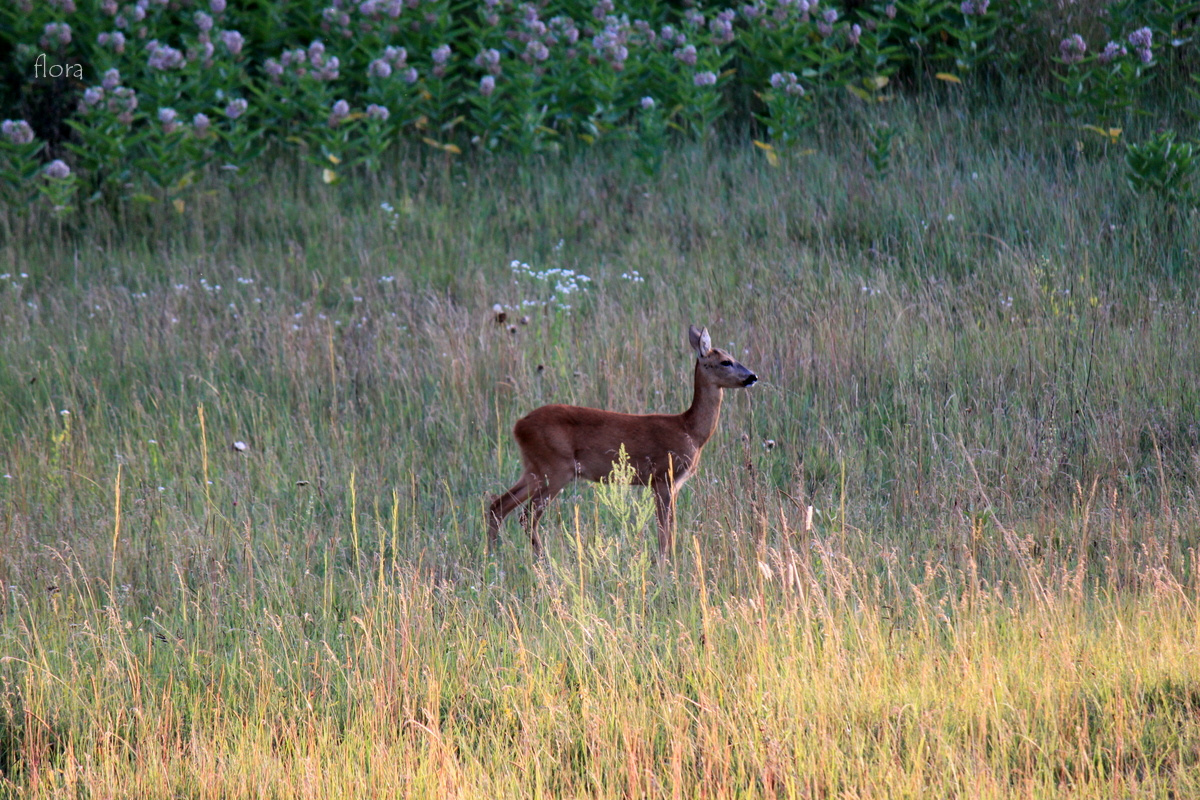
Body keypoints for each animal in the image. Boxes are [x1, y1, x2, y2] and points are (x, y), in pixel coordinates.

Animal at [482, 323, 753, 556]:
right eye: (726, 361)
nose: (752, 376)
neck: (691, 430)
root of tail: (519, 425)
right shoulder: (663, 478)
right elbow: (665, 531)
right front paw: (666, 567)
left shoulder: (670, 484)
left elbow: (669, 530)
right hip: (555, 468)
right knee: (526, 515)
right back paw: (540, 562)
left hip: (534, 468)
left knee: (498, 506)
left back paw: (494, 557)